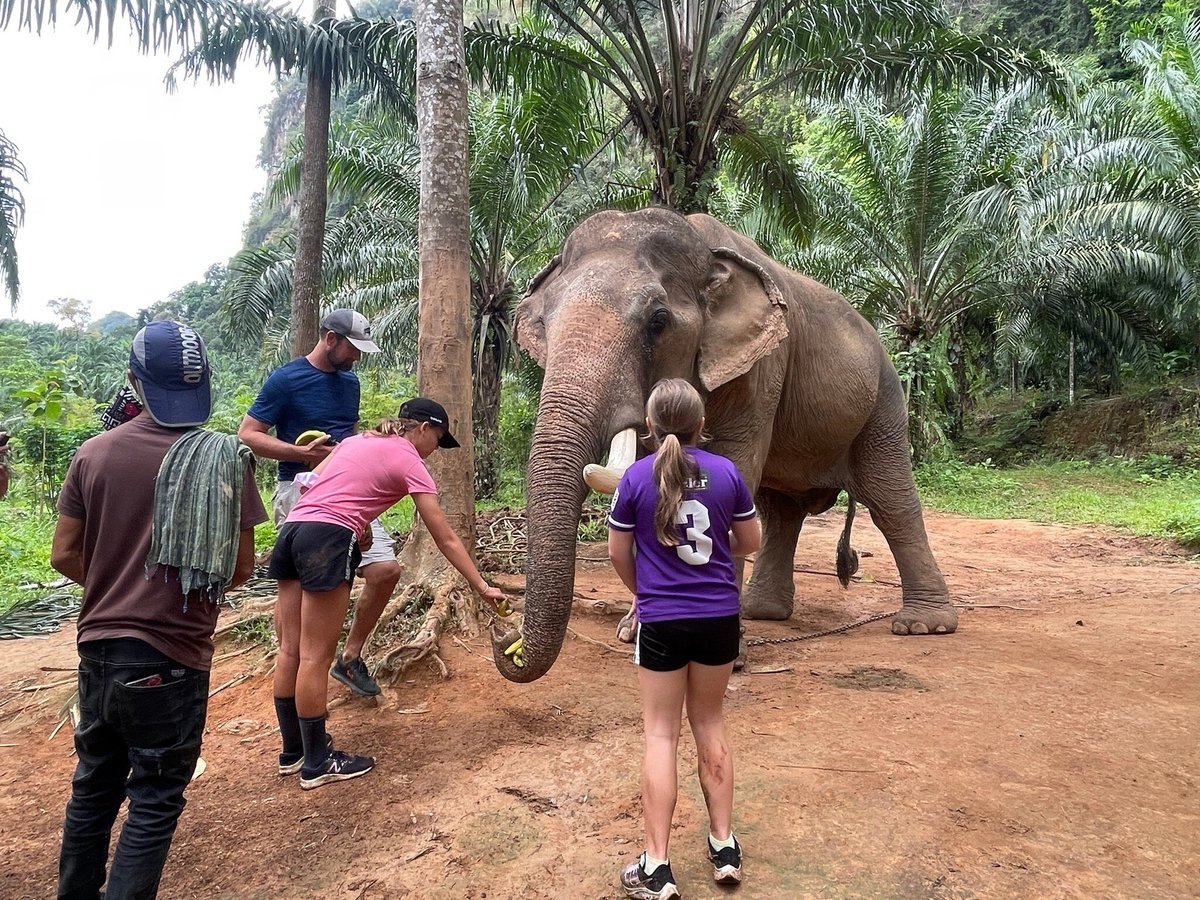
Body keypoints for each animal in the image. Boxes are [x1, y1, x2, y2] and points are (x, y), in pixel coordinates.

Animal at [487, 206, 955, 681]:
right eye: (543, 326)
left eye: (658, 321)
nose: (503, 636)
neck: (704, 250)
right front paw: (635, 632)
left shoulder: (762, 367)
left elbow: (729, 468)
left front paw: (725, 652)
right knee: (781, 511)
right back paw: (761, 611)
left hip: (885, 401)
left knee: (889, 499)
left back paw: (924, 624)